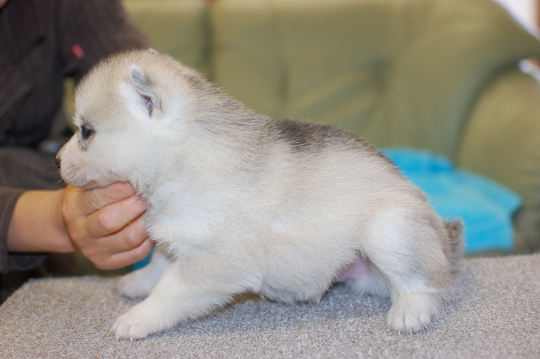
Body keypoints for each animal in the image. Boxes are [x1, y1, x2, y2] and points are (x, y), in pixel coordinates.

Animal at [57, 49, 462, 342]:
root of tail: (443, 236)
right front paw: (137, 284)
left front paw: (139, 317)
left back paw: (411, 309)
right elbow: (158, 264)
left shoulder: (216, 261)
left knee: (432, 283)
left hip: (388, 232)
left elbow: (170, 289)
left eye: (86, 131)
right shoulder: (180, 240)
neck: (184, 155)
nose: (57, 159)